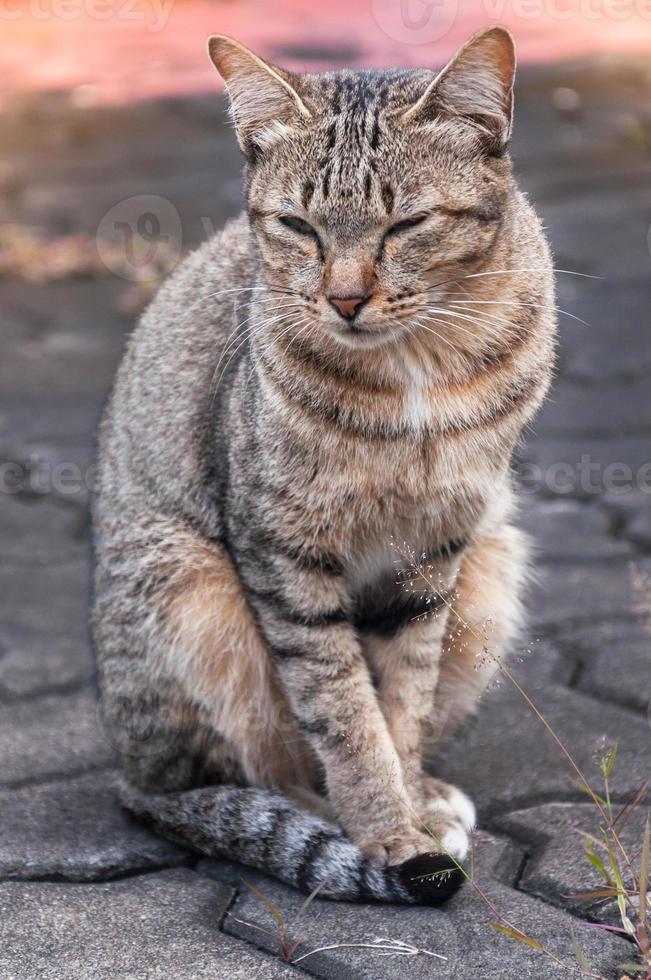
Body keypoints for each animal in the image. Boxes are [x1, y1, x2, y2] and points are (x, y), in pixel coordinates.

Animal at [93, 26, 556, 908]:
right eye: (296, 226)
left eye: (406, 223)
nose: (343, 299)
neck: (414, 370)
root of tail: (127, 769)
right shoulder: (284, 554)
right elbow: (342, 713)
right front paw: (385, 834)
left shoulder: (431, 552)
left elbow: (400, 697)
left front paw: (409, 801)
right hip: (185, 582)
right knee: (222, 779)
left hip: (493, 562)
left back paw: (428, 793)